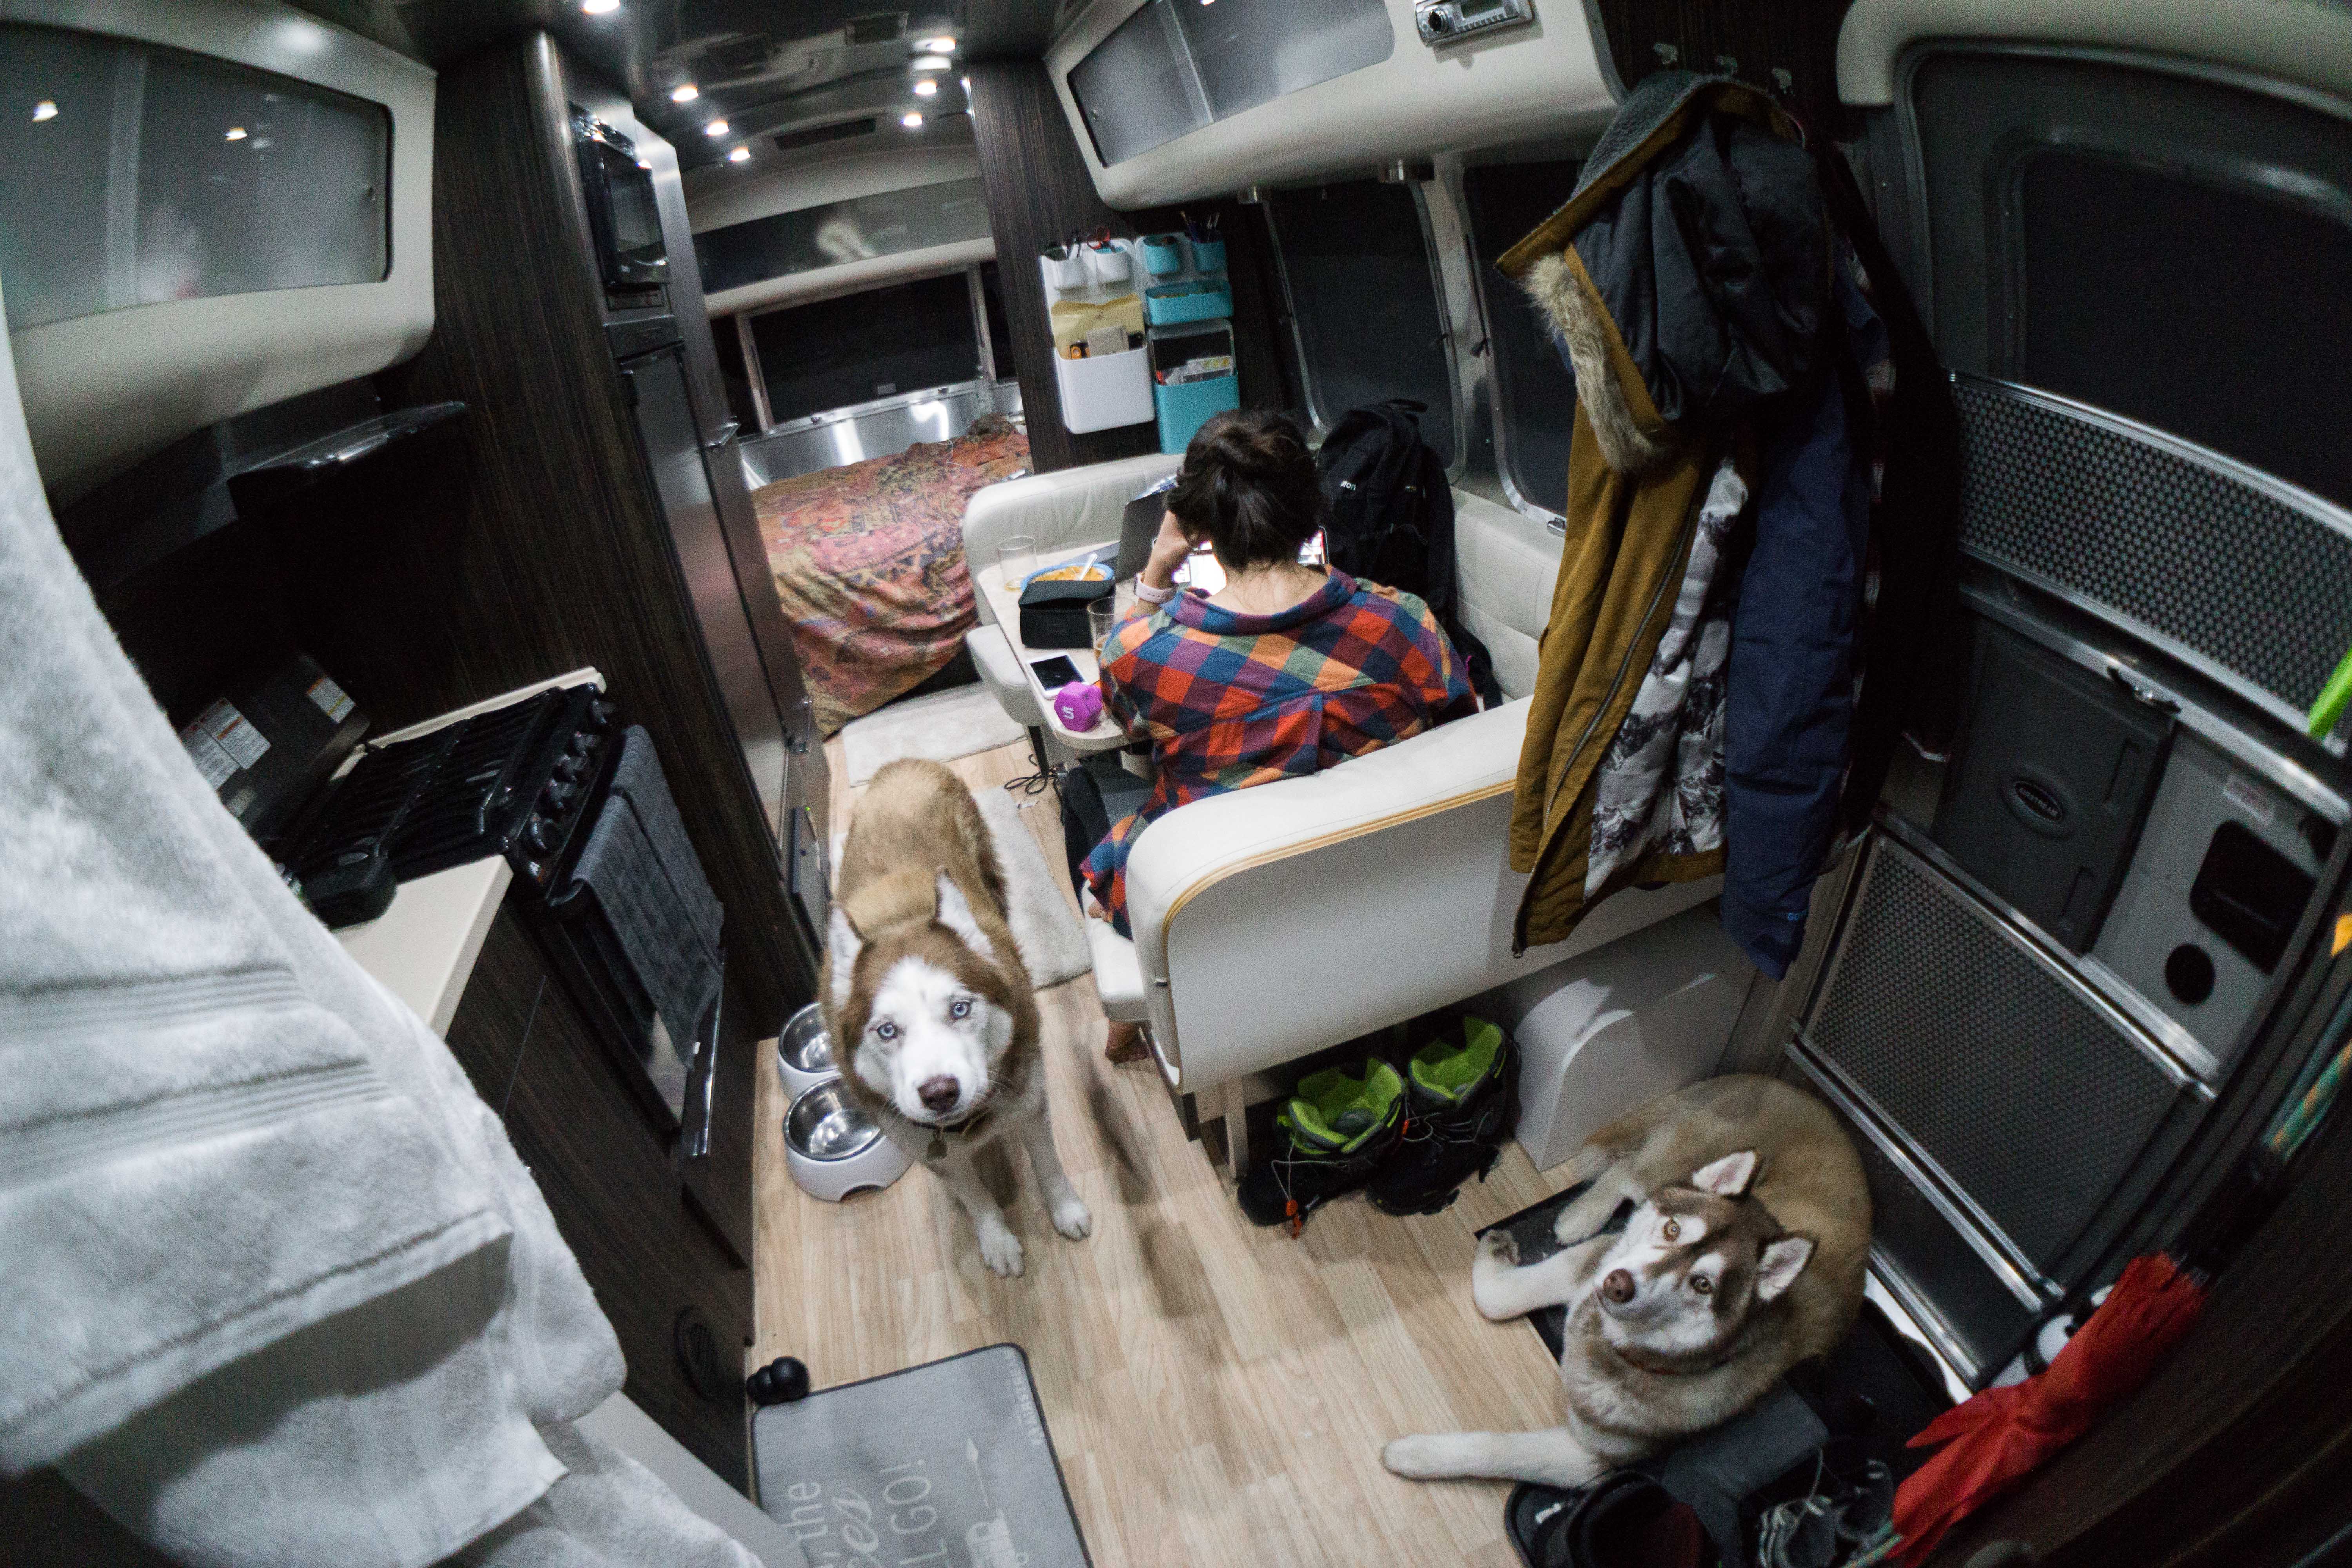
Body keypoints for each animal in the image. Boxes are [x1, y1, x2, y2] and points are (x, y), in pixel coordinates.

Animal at [822, 758, 1092, 1277]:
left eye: (960, 1008)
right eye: (887, 1030)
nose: (939, 1092)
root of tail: (904, 764)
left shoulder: (1031, 1099)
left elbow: (1048, 1165)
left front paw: (1066, 1209)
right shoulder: (927, 1148)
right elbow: (973, 1196)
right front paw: (997, 1240)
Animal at [1383, 1075, 1869, 1487]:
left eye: (1703, 1284)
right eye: (1673, 1230)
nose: (1617, 1284)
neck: (1605, 1339)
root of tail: (1786, 1085)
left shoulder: (1593, 1459)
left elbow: (1504, 1450)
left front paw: (1415, 1455)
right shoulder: (1588, 1264)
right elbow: (1498, 1298)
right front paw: (1498, 1251)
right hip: (1675, 1164)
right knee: (1626, 1173)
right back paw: (1581, 1216)